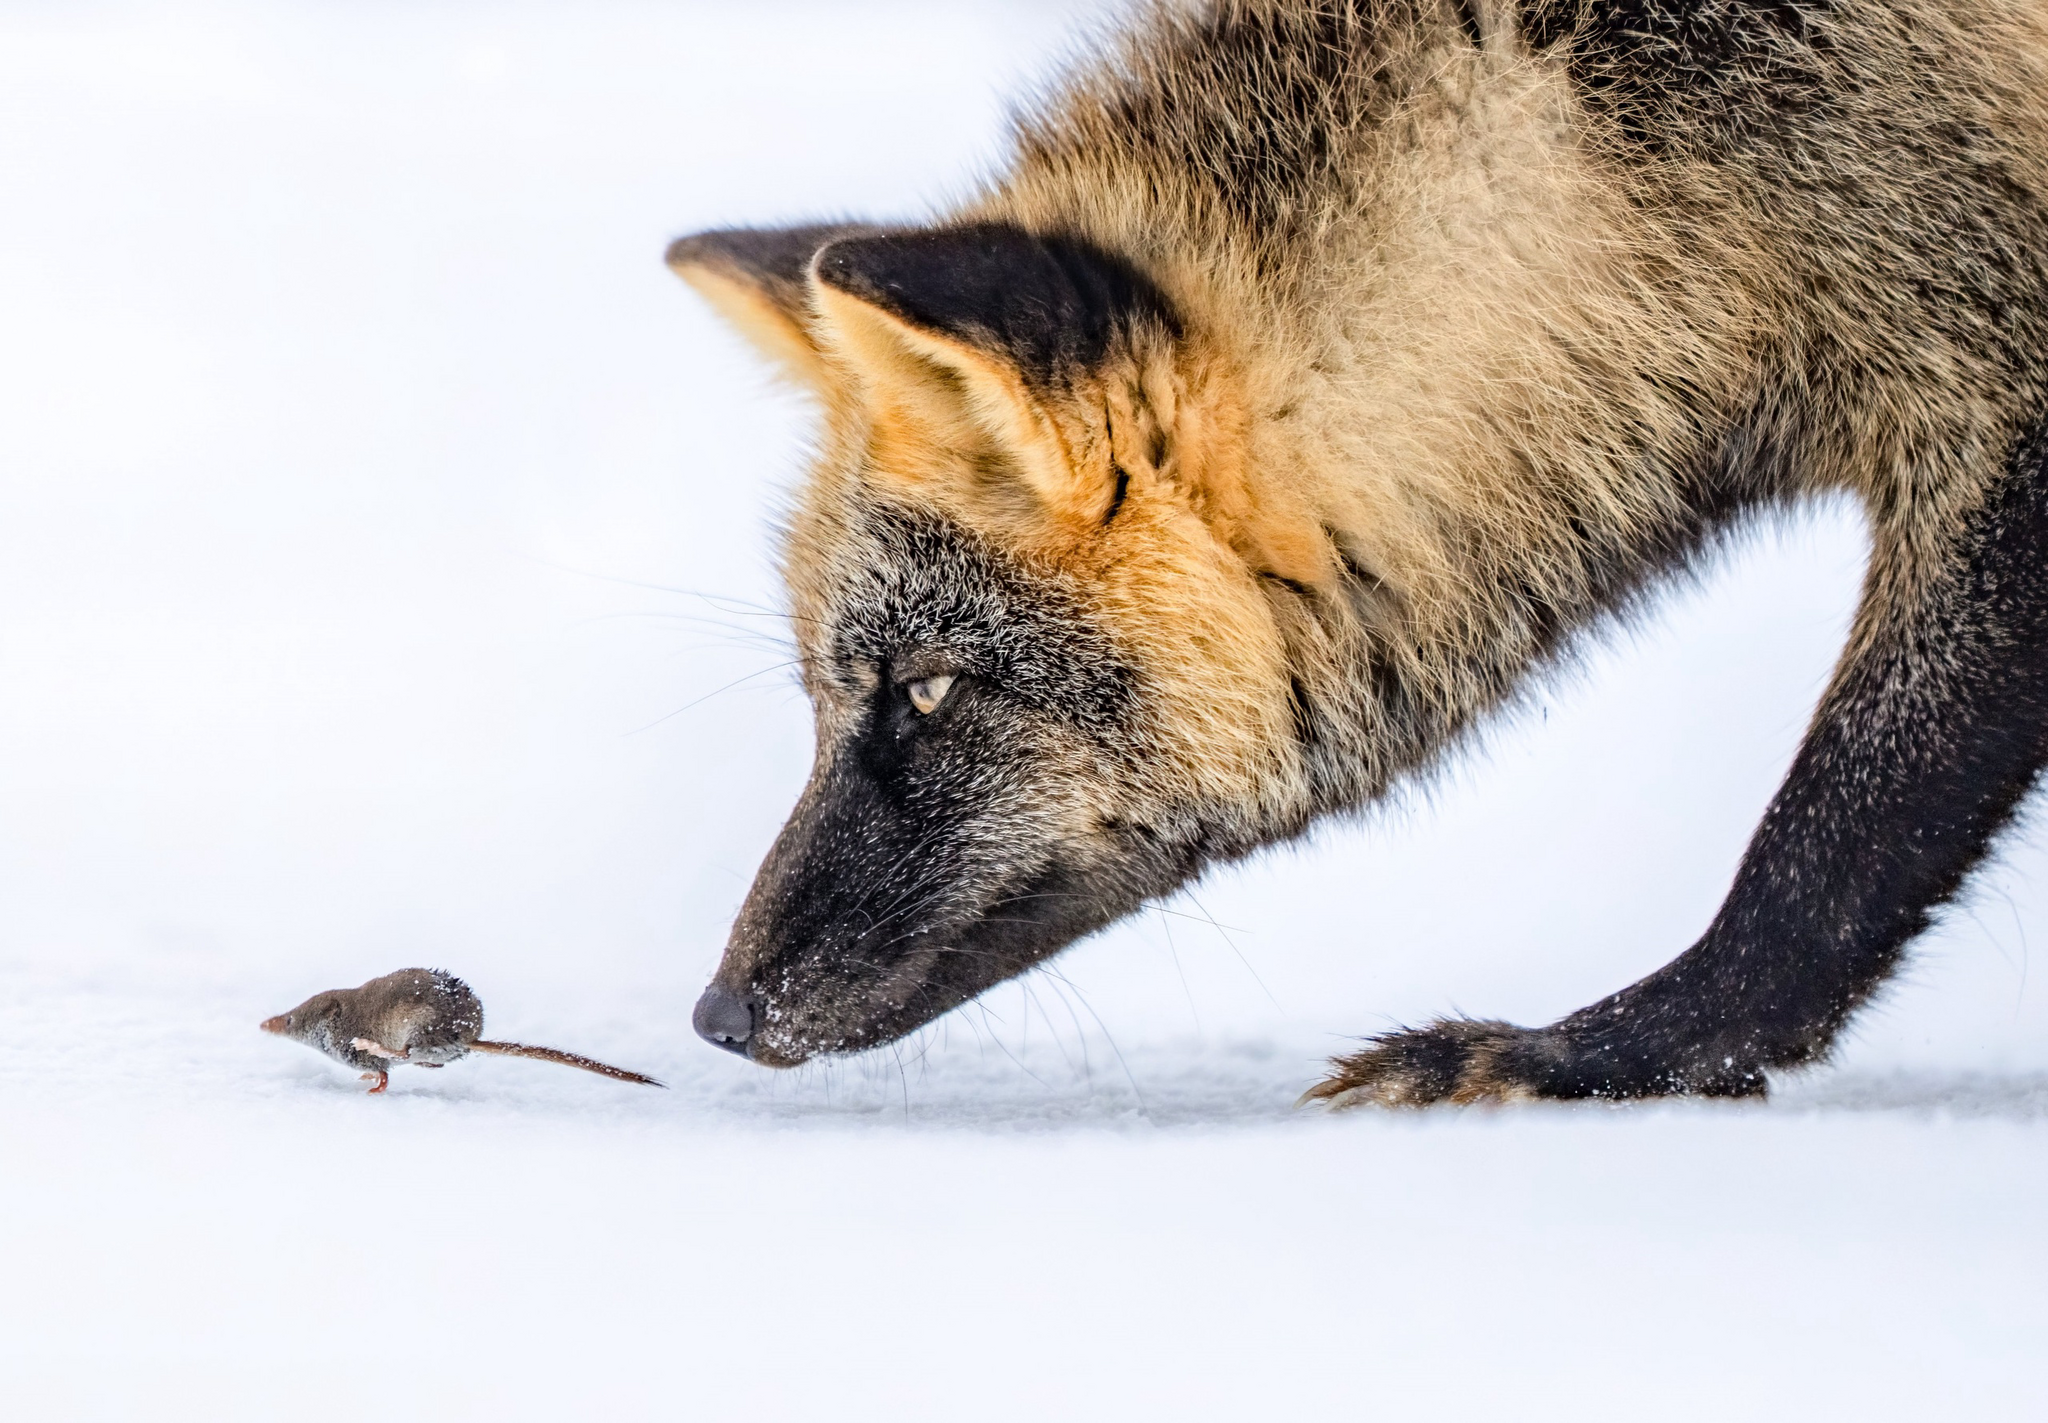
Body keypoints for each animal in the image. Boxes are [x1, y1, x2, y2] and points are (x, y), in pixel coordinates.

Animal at [663, 0, 2048, 1105]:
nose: (717, 1014)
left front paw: (1591, 1060)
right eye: (823, 695)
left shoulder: (2005, 420)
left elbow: (1826, 839)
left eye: (930, 687)